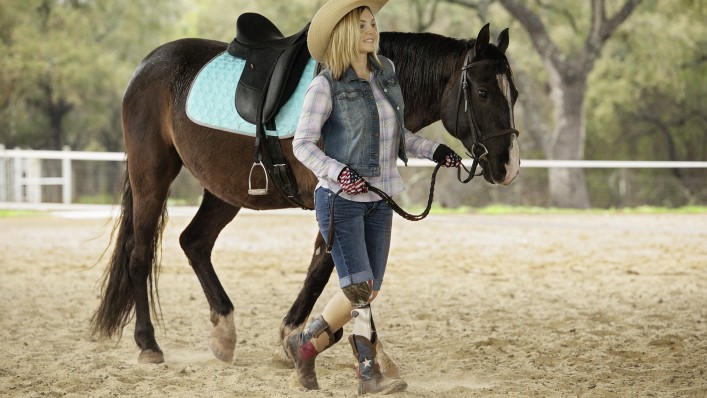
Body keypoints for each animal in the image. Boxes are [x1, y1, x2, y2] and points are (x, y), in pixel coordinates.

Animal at [88, 21, 520, 370]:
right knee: (140, 253)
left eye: (513, 93)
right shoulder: (334, 197)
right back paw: (148, 345)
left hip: (225, 189)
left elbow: (358, 274)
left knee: (193, 242)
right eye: (483, 92)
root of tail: (148, 64)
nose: (508, 166)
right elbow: (324, 268)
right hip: (151, 175)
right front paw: (290, 338)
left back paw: (224, 333)